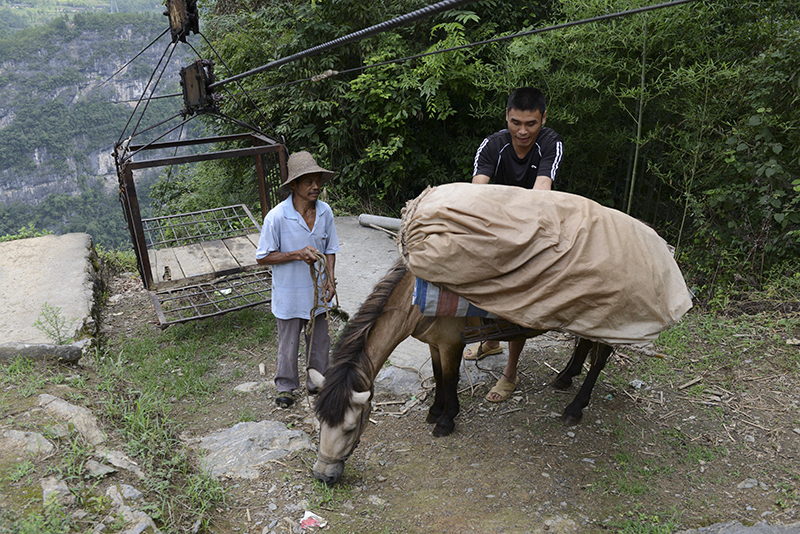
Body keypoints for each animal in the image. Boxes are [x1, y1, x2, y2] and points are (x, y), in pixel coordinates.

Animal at [310, 262, 612, 488]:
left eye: (350, 428)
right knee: (585, 343)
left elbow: (451, 378)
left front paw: (446, 420)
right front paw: (435, 410)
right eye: (320, 422)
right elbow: (438, 376)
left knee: (600, 357)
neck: (416, 300)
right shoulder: (434, 344)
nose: (323, 475)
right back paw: (565, 377)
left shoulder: (450, 344)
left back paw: (576, 407)